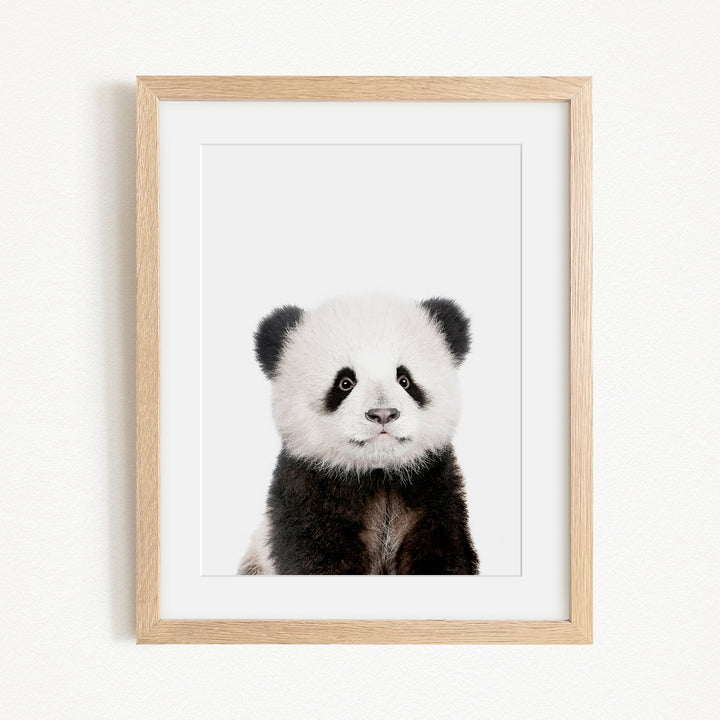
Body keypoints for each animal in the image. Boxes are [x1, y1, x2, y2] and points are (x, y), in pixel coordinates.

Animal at [238, 294, 479, 575]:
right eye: (345, 383)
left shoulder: (432, 488)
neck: (378, 475)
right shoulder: (308, 490)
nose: (383, 414)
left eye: (405, 380)